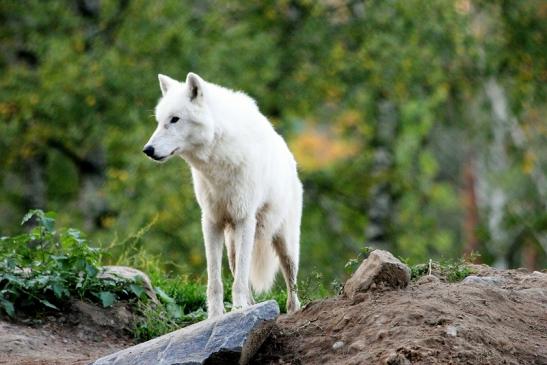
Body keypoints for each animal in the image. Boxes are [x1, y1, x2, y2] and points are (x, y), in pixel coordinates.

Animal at [143, 72, 302, 318]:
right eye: (159, 121)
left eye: (175, 119)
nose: (147, 150)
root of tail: (290, 159)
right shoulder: (211, 221)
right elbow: (215, 281)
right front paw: (216, 316)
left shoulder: (245, 219)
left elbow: (239, 282)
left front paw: (237, 310)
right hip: (232, 246)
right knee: (241, 273)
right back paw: (251, 305)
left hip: (284, 242)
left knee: (290, 281)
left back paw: (292, 310)